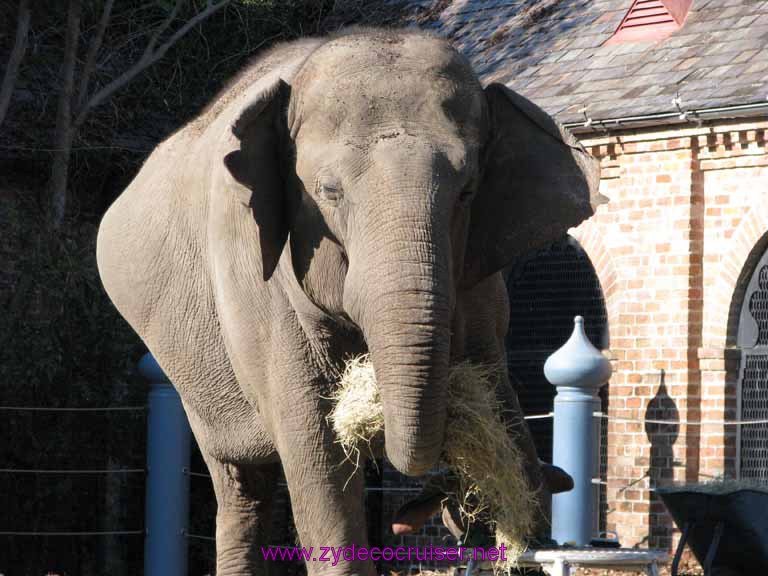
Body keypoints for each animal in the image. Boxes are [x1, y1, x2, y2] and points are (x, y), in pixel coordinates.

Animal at [94, 25, 600, 576]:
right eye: (329, 192)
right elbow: (318, 453)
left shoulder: (482, 284)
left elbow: (501, 403)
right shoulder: (258, 286)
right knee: (241, 484)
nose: (440, 502)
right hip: (192, 376)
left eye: (467, 191)